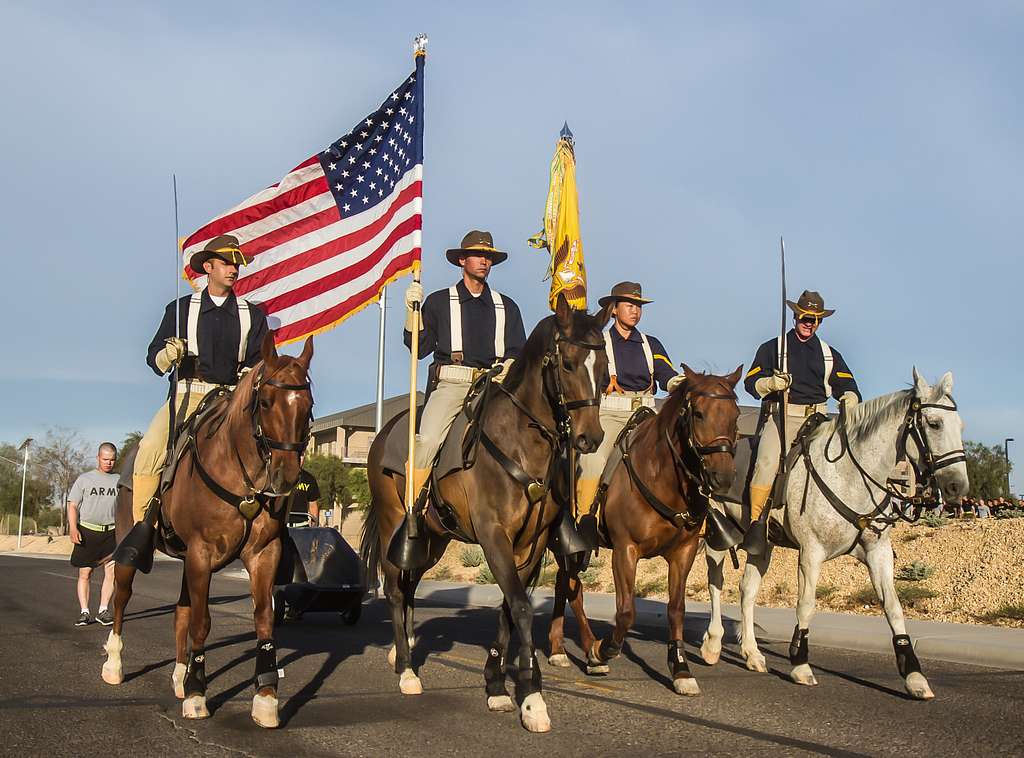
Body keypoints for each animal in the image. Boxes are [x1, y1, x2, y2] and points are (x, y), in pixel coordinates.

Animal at [103, 335, 313, 729]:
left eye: (308, 406)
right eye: (265, 402)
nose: (287, 476)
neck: (242, 476)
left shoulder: (263, 554)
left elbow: (263, 621)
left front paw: (265, 699)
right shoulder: (203, 553)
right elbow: (202, 623)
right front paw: (198, 694)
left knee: (181, 611)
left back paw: (179, 677)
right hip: (131, 547)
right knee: (122, 598)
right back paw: (114, 663)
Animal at [364, 292, 610, 729]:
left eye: (603, 366)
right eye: (567, 363)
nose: (590, 437)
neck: (521, 443)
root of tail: (385, 432)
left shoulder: (531, 544)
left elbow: (509, 609)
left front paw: (497, 684)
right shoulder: (495, 535)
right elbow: (522, 607)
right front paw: (532, 697)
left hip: (433, 540)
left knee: (409, 587)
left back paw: (401, 649)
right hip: (397, 522)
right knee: (394, 589)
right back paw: (407, 670)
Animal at [548, 364, 741, 696]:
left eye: (736, 415)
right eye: (699, 413)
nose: (723, 477)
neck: (661, 476)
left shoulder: (683, 552)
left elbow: (676, 609)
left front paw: (680, 668)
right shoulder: (625, 550)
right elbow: (626, 611)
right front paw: (603, 649)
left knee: (564, 584)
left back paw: (560, 649)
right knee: (573, 589)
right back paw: (585, 651)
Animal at [700, 368, 962, 700]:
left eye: (960, 425)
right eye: (934, 423)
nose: (957, 486)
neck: (851, 474)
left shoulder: (877, 552)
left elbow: (893, 608)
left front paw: (914, 675)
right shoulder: (811, 552)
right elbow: (806, 604)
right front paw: (800, 663)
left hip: (762, 545)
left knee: (747, 590)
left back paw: (752, 653)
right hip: (716, 538)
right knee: (715, 584)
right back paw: (712, 644)